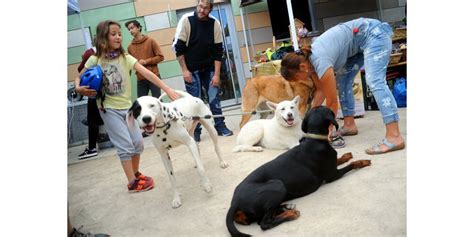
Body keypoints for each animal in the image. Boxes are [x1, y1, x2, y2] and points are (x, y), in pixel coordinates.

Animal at [225, 106, 370, 236]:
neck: (315, 140)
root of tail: (234, 201)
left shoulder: (332, 165)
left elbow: (340, 159)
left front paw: (346, 155)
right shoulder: (332, 175)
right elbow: (352, 164)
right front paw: (363, 162)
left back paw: (285, 207)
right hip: (277, 185)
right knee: (263, 223)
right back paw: (290, 213)